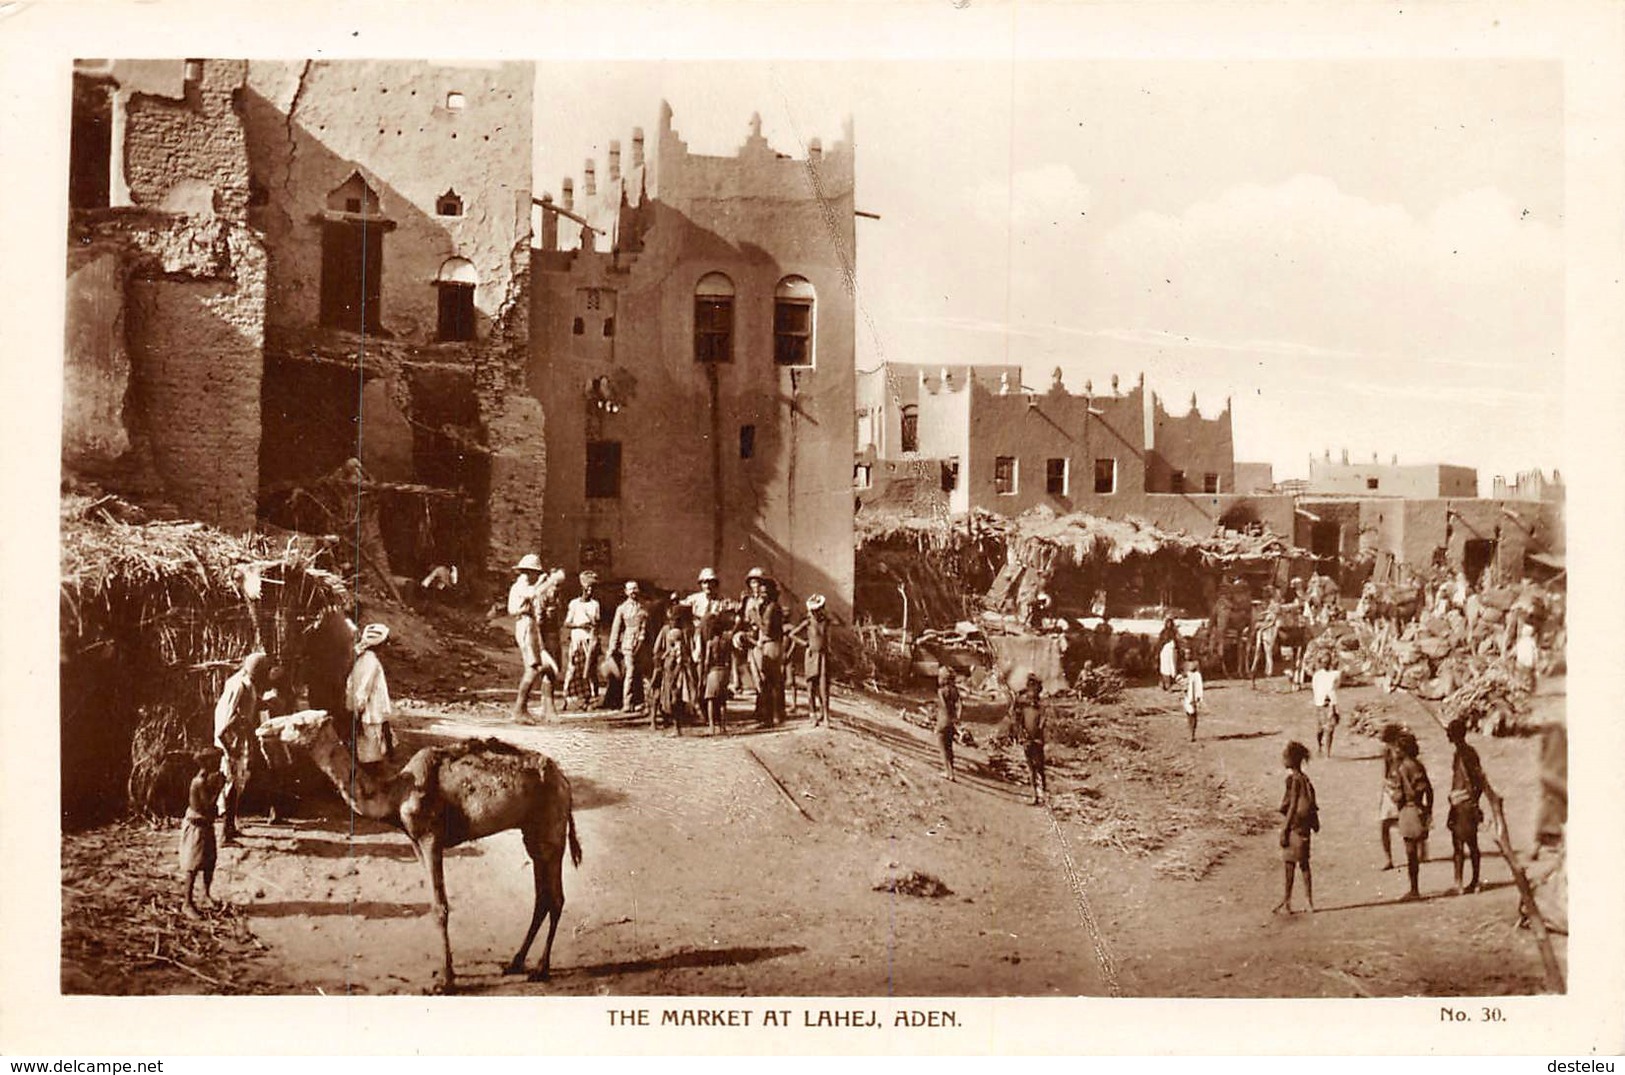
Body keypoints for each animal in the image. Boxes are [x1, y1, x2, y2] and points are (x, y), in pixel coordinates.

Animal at [256, 711, 581, 1000]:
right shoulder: (414, 841)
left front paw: (446, 982)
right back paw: (515, 962)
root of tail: (564, 782)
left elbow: (440, 907)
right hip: (533, 832)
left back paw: (540, 969)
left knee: (556, 897)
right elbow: (432, 904)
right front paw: (444, 973)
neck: (396, 794)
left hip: (551, 829)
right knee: (542, 896)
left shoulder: (430, 837)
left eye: (299, 723)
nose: (263, 728)